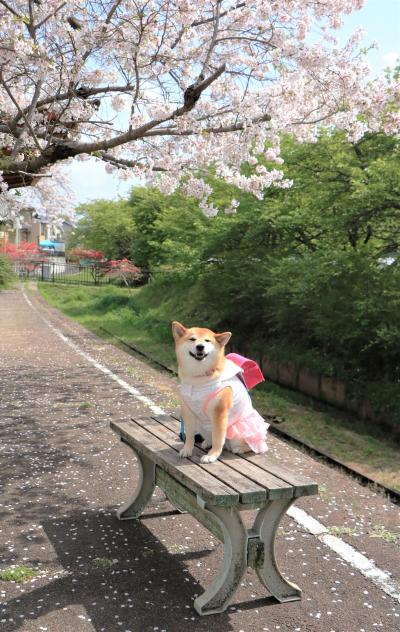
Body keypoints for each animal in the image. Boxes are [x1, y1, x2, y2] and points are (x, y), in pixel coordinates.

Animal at [172, 320, 268, 464]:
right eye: (192, 339)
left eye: (207, 341)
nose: (200, 347)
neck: (198, 379)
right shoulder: (188, 410)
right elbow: (189, 435)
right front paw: (187, 449)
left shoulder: (219, 413)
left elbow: (218, 439)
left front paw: (212, 456)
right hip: (202, 425)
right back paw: (207, 442)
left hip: (238, 434)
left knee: (252, 446)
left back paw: (239, 449)